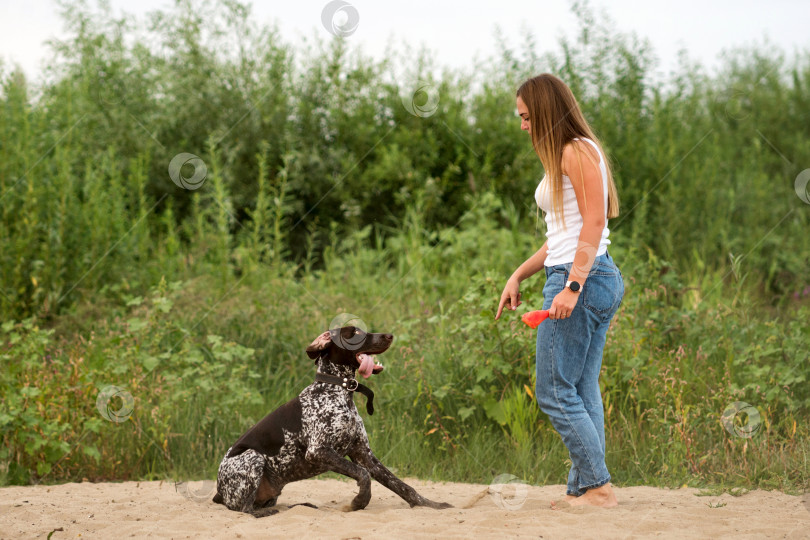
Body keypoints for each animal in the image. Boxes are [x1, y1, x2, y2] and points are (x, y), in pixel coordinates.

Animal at [211, 326, 452, 516]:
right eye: (354, 333)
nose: (389, 335)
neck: (337, 391)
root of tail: (219, 492)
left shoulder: (364, 454)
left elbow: (402, 486)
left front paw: (430, 505)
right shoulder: (319, 451)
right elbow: (363, 476)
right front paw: (358, 502)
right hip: (252, 457)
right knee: (246, 510)